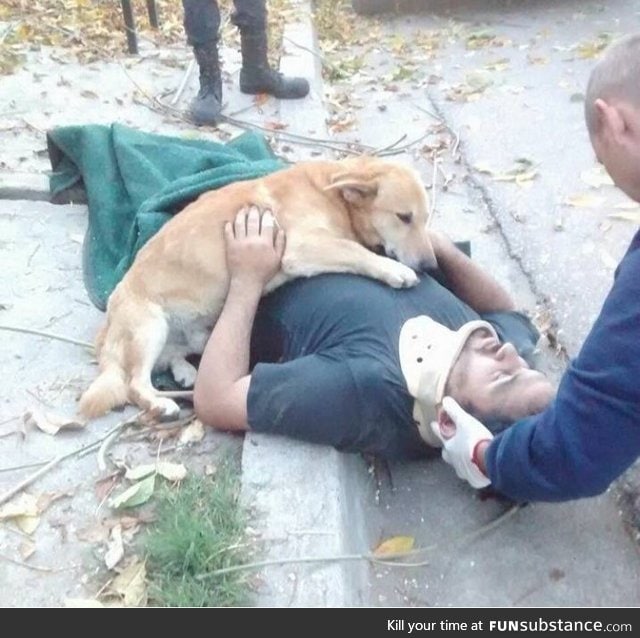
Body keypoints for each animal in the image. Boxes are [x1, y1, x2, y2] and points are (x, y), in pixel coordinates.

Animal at [79, 158, 436, 422]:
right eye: (404, 217)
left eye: (424, 218)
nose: (431, 265)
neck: (332, 195)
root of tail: (107, 327)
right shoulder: (302, 248)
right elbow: (356, 251)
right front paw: (394, 270)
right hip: (150, 326)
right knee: (134, 383)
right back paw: (160, 403)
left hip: (192, 334)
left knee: (169, 358)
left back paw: (183, 372)